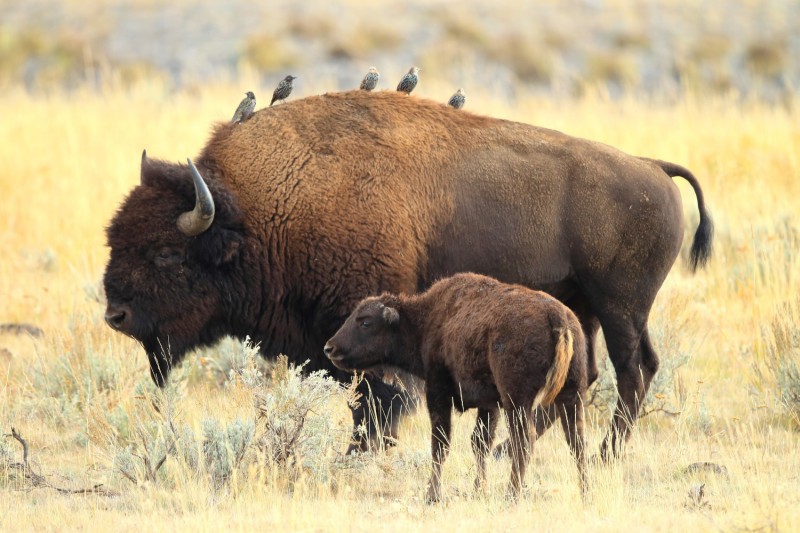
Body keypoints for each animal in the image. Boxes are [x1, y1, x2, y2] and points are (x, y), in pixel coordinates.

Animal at [101, 89, 712, 456]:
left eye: (166, 254)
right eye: (116, 238)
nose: (115, 314)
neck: (262, 210)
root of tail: (653, 168)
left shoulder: (367, 323)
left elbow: (377, 399)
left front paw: (358, 454)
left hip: (620, 307)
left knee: (633, 371)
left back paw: (606, 454)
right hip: (584, 309)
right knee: (592, 376)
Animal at [324, 272, 588, 500]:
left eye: (365, 322)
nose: (330, 348)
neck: (427, 319)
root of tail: (557, 316)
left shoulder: (438, 392)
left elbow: (440, 445)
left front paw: (432, 496)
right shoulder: (489, 404)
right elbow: (480, 443)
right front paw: (478, 491)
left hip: (518, 401)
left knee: (524, 441)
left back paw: (512, 496)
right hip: (571, 395)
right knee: (577, 442)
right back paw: (586, 493)